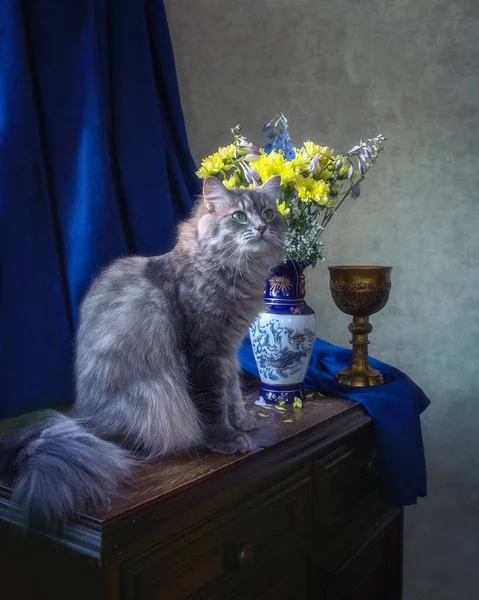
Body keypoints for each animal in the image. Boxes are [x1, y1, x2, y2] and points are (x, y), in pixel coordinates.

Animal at [0, 175, 284, 528]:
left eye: (270, 213)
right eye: (239, 216)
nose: (261, 227)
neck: (232, 271)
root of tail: (81, 417)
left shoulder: (227, 350)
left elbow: (231, 393)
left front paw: (242, 421)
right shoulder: (205, 350)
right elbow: (213, 401)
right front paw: (226, 438)